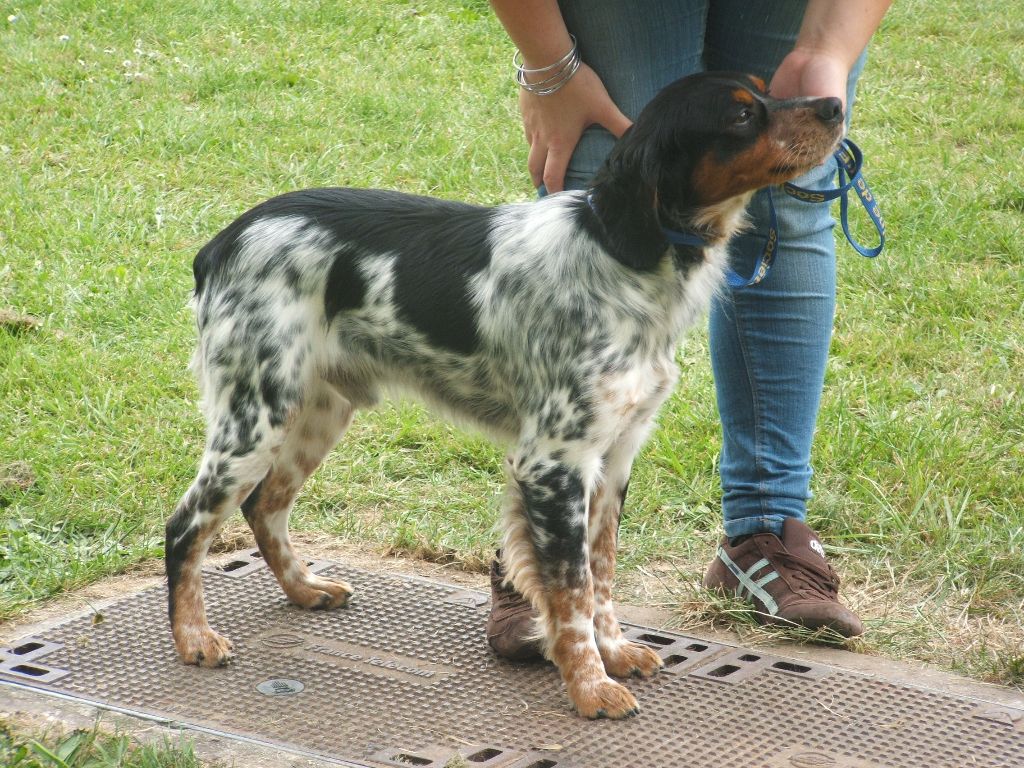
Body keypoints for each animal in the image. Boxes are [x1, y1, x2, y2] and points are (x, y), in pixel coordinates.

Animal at [165, 72, 839, 720]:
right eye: (742, 114)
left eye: (766, 90)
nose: (834, 105)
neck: (621, 258)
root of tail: (220, 244)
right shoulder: (554, 463)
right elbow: (570, 591)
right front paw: (590, 688)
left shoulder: (615, 457)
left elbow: (601, 572)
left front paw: (614, 652)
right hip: (255, 419)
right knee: (184, 526)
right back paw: (194, 639)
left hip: (316, 413)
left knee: (264, 506)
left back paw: (305, 589)